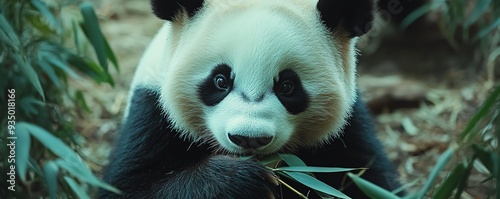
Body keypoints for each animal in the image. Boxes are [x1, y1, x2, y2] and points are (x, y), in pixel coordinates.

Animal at [99, 0, 404, 198]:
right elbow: (129, 188)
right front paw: (240, 180)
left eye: (288, 87)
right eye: (220, 81)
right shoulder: (152, 112)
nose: (249, 138)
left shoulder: (348, 132)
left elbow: (368, 179)